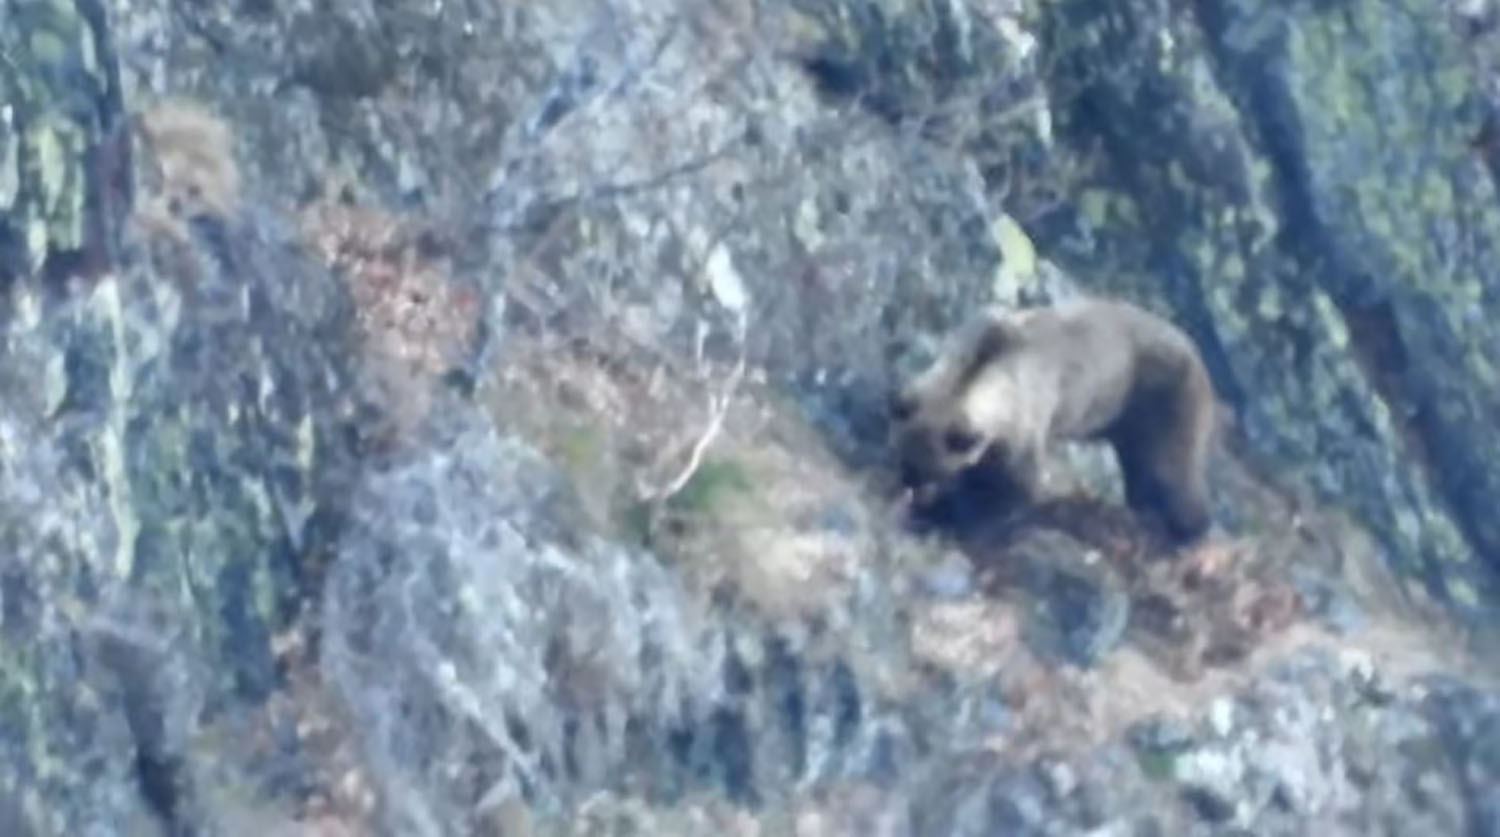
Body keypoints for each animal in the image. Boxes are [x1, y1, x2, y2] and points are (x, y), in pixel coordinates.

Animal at [889, 296, 1218, 544]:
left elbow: (1012, 487)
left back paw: (1188, 527)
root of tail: (1196, 352)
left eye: (926, 470)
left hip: (1166, 401)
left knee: (1173, 474)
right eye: (904, 462)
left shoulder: (1025, 417)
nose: (907, 483)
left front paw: (946, 514)